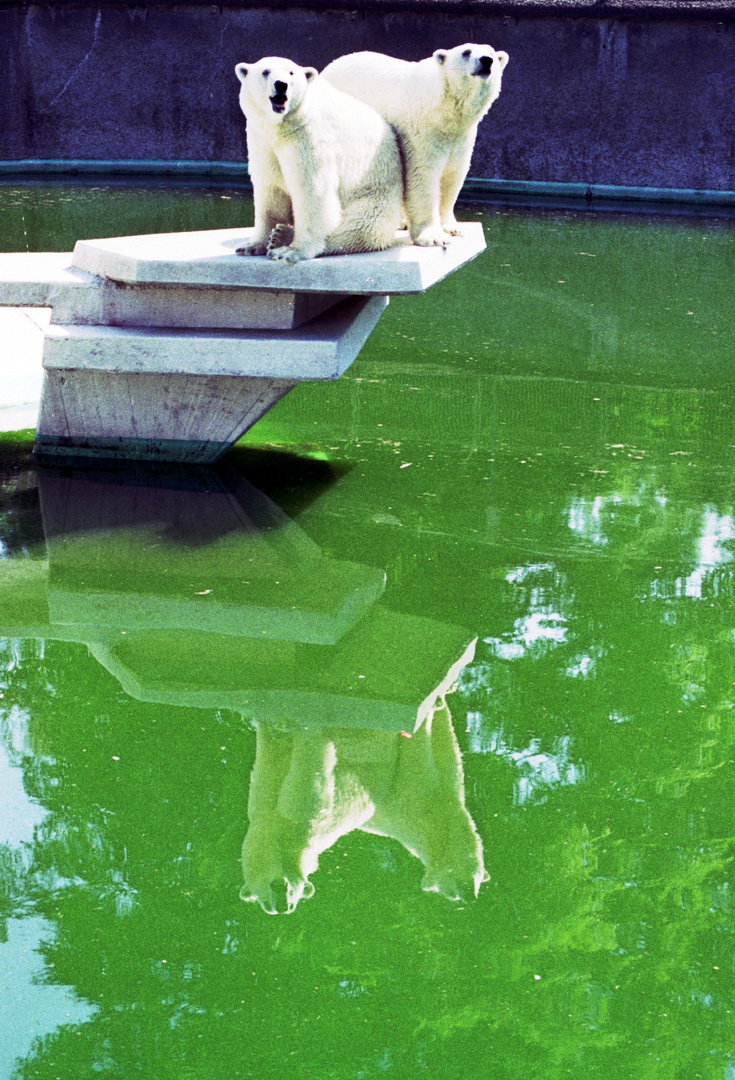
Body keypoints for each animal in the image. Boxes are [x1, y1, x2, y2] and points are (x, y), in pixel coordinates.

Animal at [233, 56, 401, 263]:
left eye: (291, 72)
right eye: (265, 72)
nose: (281, 84)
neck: (282, 126)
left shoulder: (309, 136)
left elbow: (312, 190)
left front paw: (291, 252)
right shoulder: (262, 141)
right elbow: (270, 189)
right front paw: (252, 245)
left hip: (375, 195)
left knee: (357, 228)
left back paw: (285, 235)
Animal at [323, 44, 507, 247]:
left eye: (491, 53)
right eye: (466, 52)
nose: (486, 60)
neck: (445, 109)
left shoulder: (461, 136)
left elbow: (453, 174)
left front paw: (452, 227)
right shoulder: (422, 130)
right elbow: (423, 175)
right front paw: (433, 236)